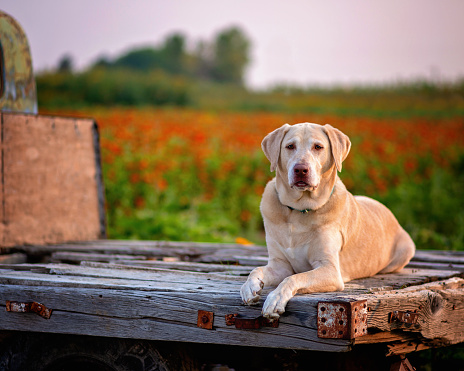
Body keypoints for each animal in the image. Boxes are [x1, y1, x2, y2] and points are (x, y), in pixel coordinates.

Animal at [241, 123, 416, 322]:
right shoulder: (280, 265)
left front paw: (275, 299)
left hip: (406, 249)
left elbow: (295, 278)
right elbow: (256, 269)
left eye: (318, 147)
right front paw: (249, 287)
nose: (301, 169)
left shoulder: (330, 269)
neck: (298, 211)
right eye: (290, 146)